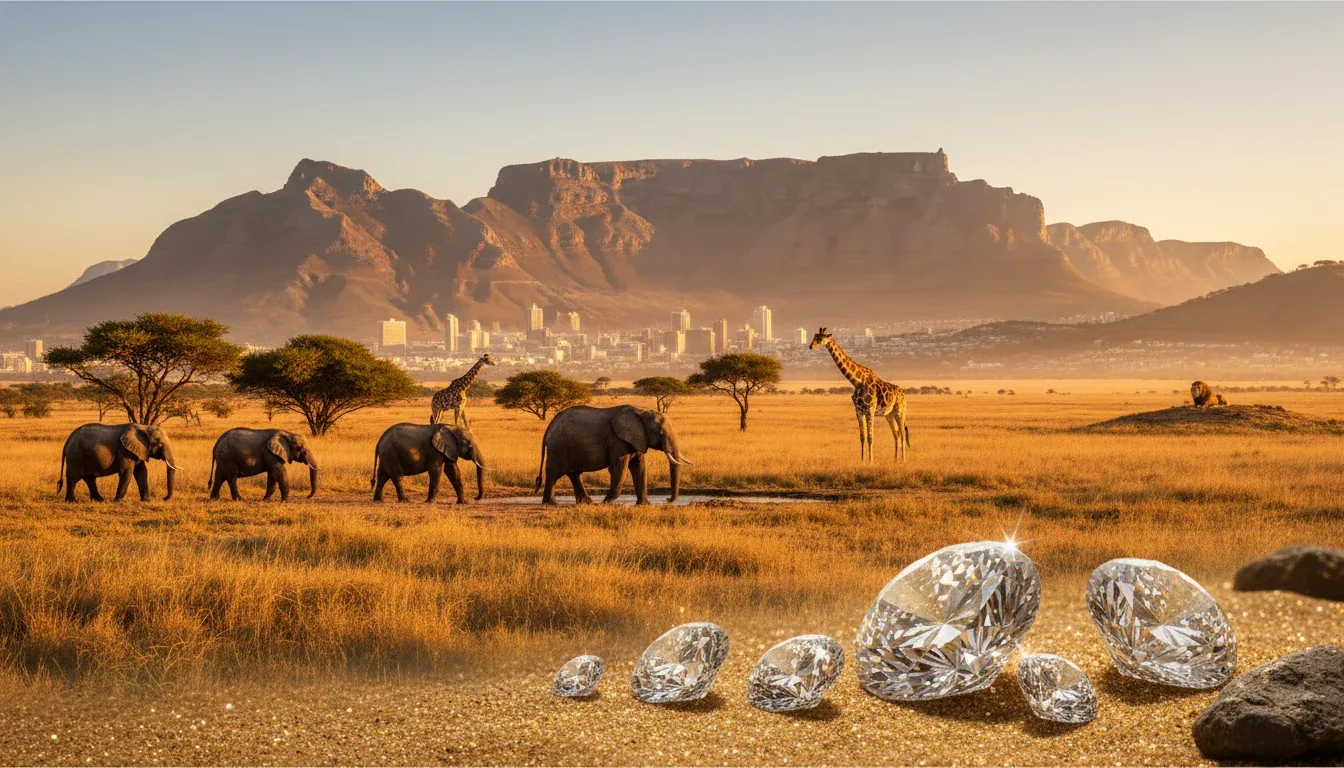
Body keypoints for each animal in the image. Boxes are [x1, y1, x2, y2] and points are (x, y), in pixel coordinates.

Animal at [533, 404, 690, 505]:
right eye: (661, 433)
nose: (667, 500)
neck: (641, 411)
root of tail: (549, 427)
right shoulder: (617, 440)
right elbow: (619, 468)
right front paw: (606, 503)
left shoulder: (636, 439)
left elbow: (639, 468)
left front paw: (645, 505)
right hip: (558, 447)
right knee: (554, 472)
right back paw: (551, 503)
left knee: (574, 474)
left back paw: (587, 503)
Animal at [809, 328, 909, 461]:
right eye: (814, 336)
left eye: (820, 338)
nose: (810, 346)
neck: (857, 381)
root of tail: (904, 395)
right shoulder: (858, 411)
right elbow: (862, 437)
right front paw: (862, 460)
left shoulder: (870, 410)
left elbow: (870, 437)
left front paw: (871, 461)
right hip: (889, 414)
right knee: (896, 434)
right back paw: (895, 460)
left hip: (900, 411)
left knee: (902, 433)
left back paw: (903, 460)